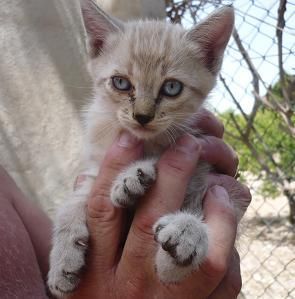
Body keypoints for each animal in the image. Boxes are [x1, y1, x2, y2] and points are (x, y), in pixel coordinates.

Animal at [48, 1, 237, 298]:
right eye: (121, 83)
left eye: (172, 87)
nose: (142, 116)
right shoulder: (94, 171)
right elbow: (71, 204)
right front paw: (63, 260)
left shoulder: (202, 169)